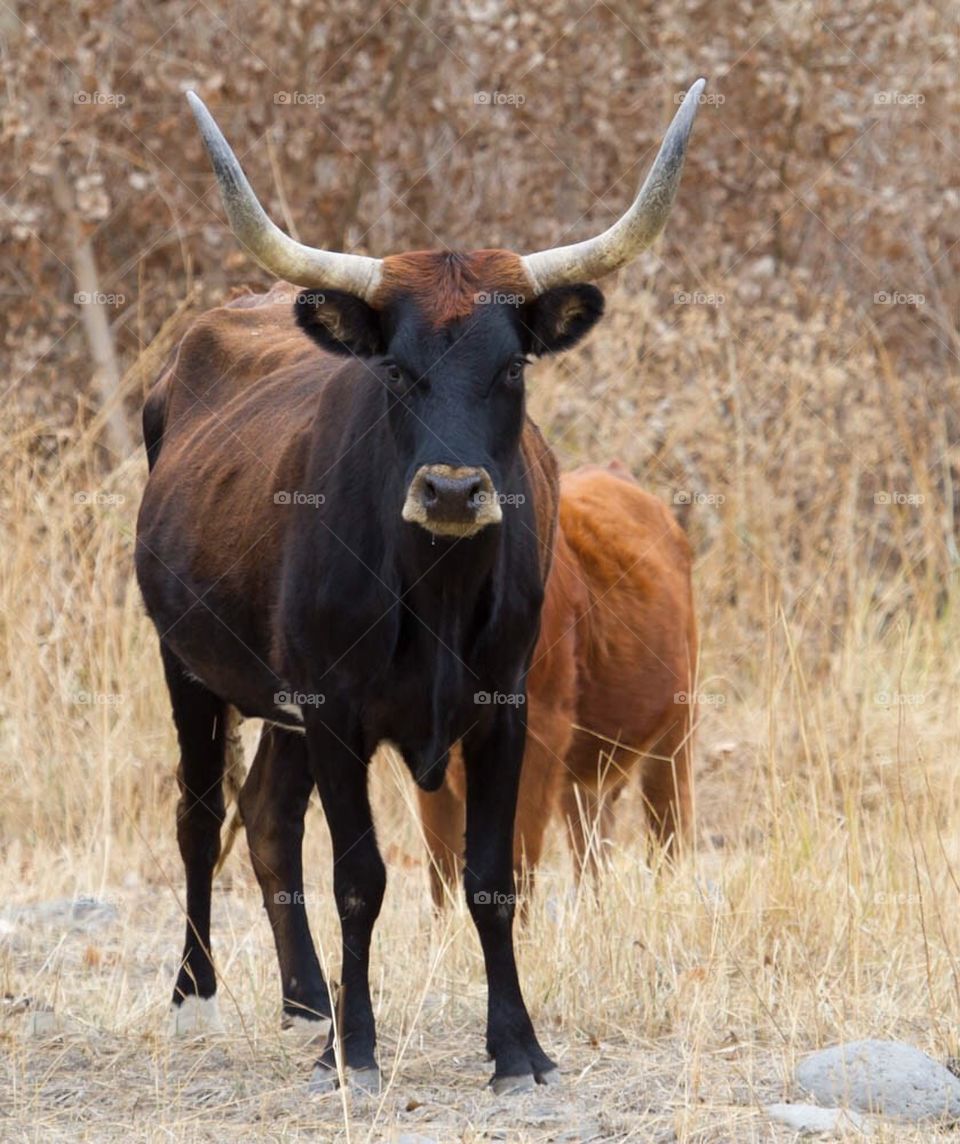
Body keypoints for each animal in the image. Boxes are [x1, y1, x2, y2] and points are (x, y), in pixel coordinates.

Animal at [417, 463, 697, 904]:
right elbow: (440, 873)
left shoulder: (537, 736)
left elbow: (513, 862)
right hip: (589, 764)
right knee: (592, 846)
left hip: (675, 732)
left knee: (667, 830)